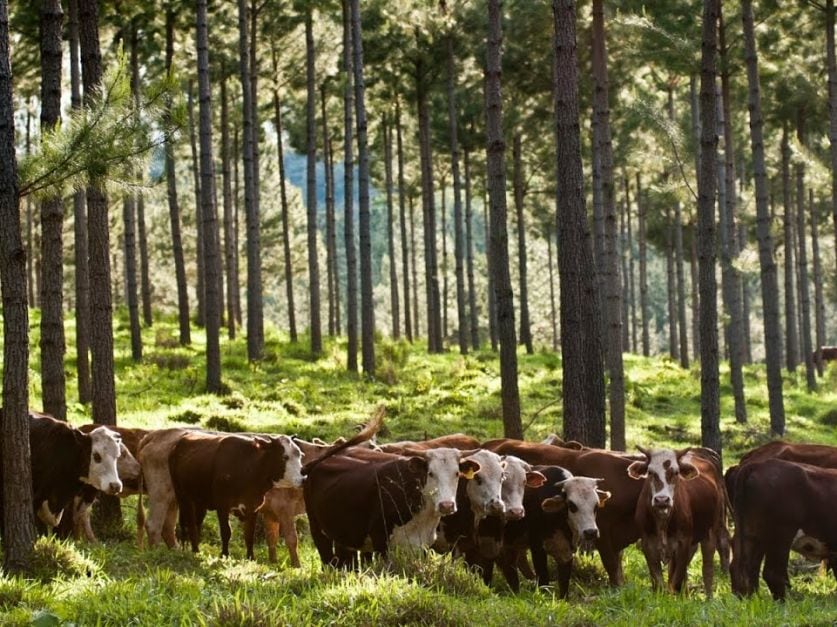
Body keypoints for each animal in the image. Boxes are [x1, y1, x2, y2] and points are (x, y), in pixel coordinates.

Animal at [304, 446, 480, 568]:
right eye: (430, 473)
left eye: (457, 474)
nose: (446, 505)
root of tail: (318, 463)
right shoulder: (380, 540)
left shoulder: (422, 545)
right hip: (317, 529)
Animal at [628, 444, 724, 596]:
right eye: (650, 472)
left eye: (676, 472)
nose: (662, 500)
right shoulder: (647, 544)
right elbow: (659, 582)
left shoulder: (683, 543)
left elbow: (675, 581)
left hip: (711, 531)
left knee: (707, 569)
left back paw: (709, 598)